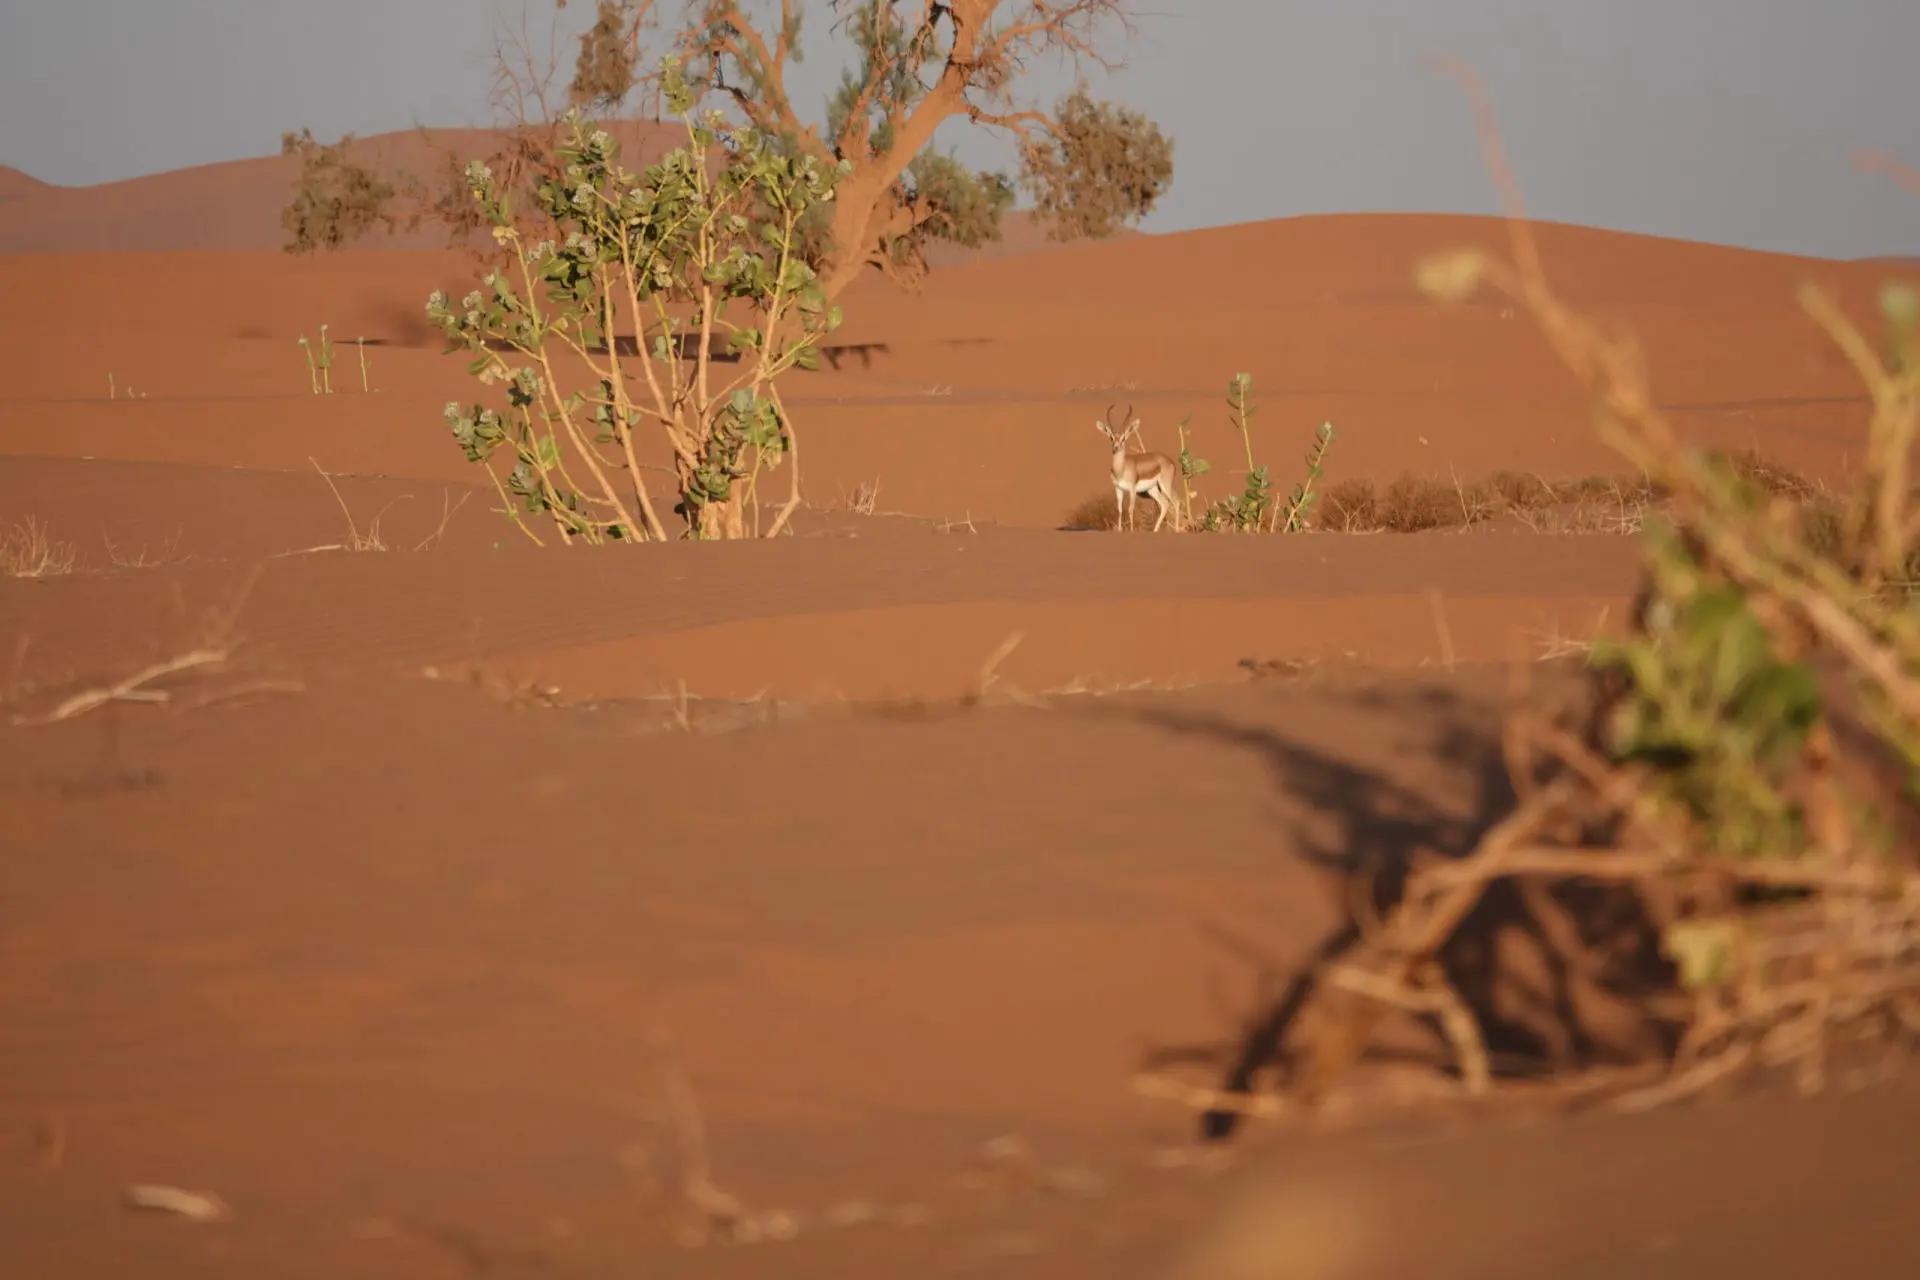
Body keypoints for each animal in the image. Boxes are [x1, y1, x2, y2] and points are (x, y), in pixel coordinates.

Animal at [1096, 402, 1180, 532]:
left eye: (1124, 438)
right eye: (1111, 438)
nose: (1115, 448)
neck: (1122, 469)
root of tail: (1170, 461)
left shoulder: (1132, 490)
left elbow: (1130, 510)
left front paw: (1131, 530)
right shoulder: (1118, 489)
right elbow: (1120, 510)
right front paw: (1120, 530)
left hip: (1165, 486)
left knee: (1176, 502)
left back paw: (1176, 529)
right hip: (1152, 489)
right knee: (1164, 504)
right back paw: (1155, 530)